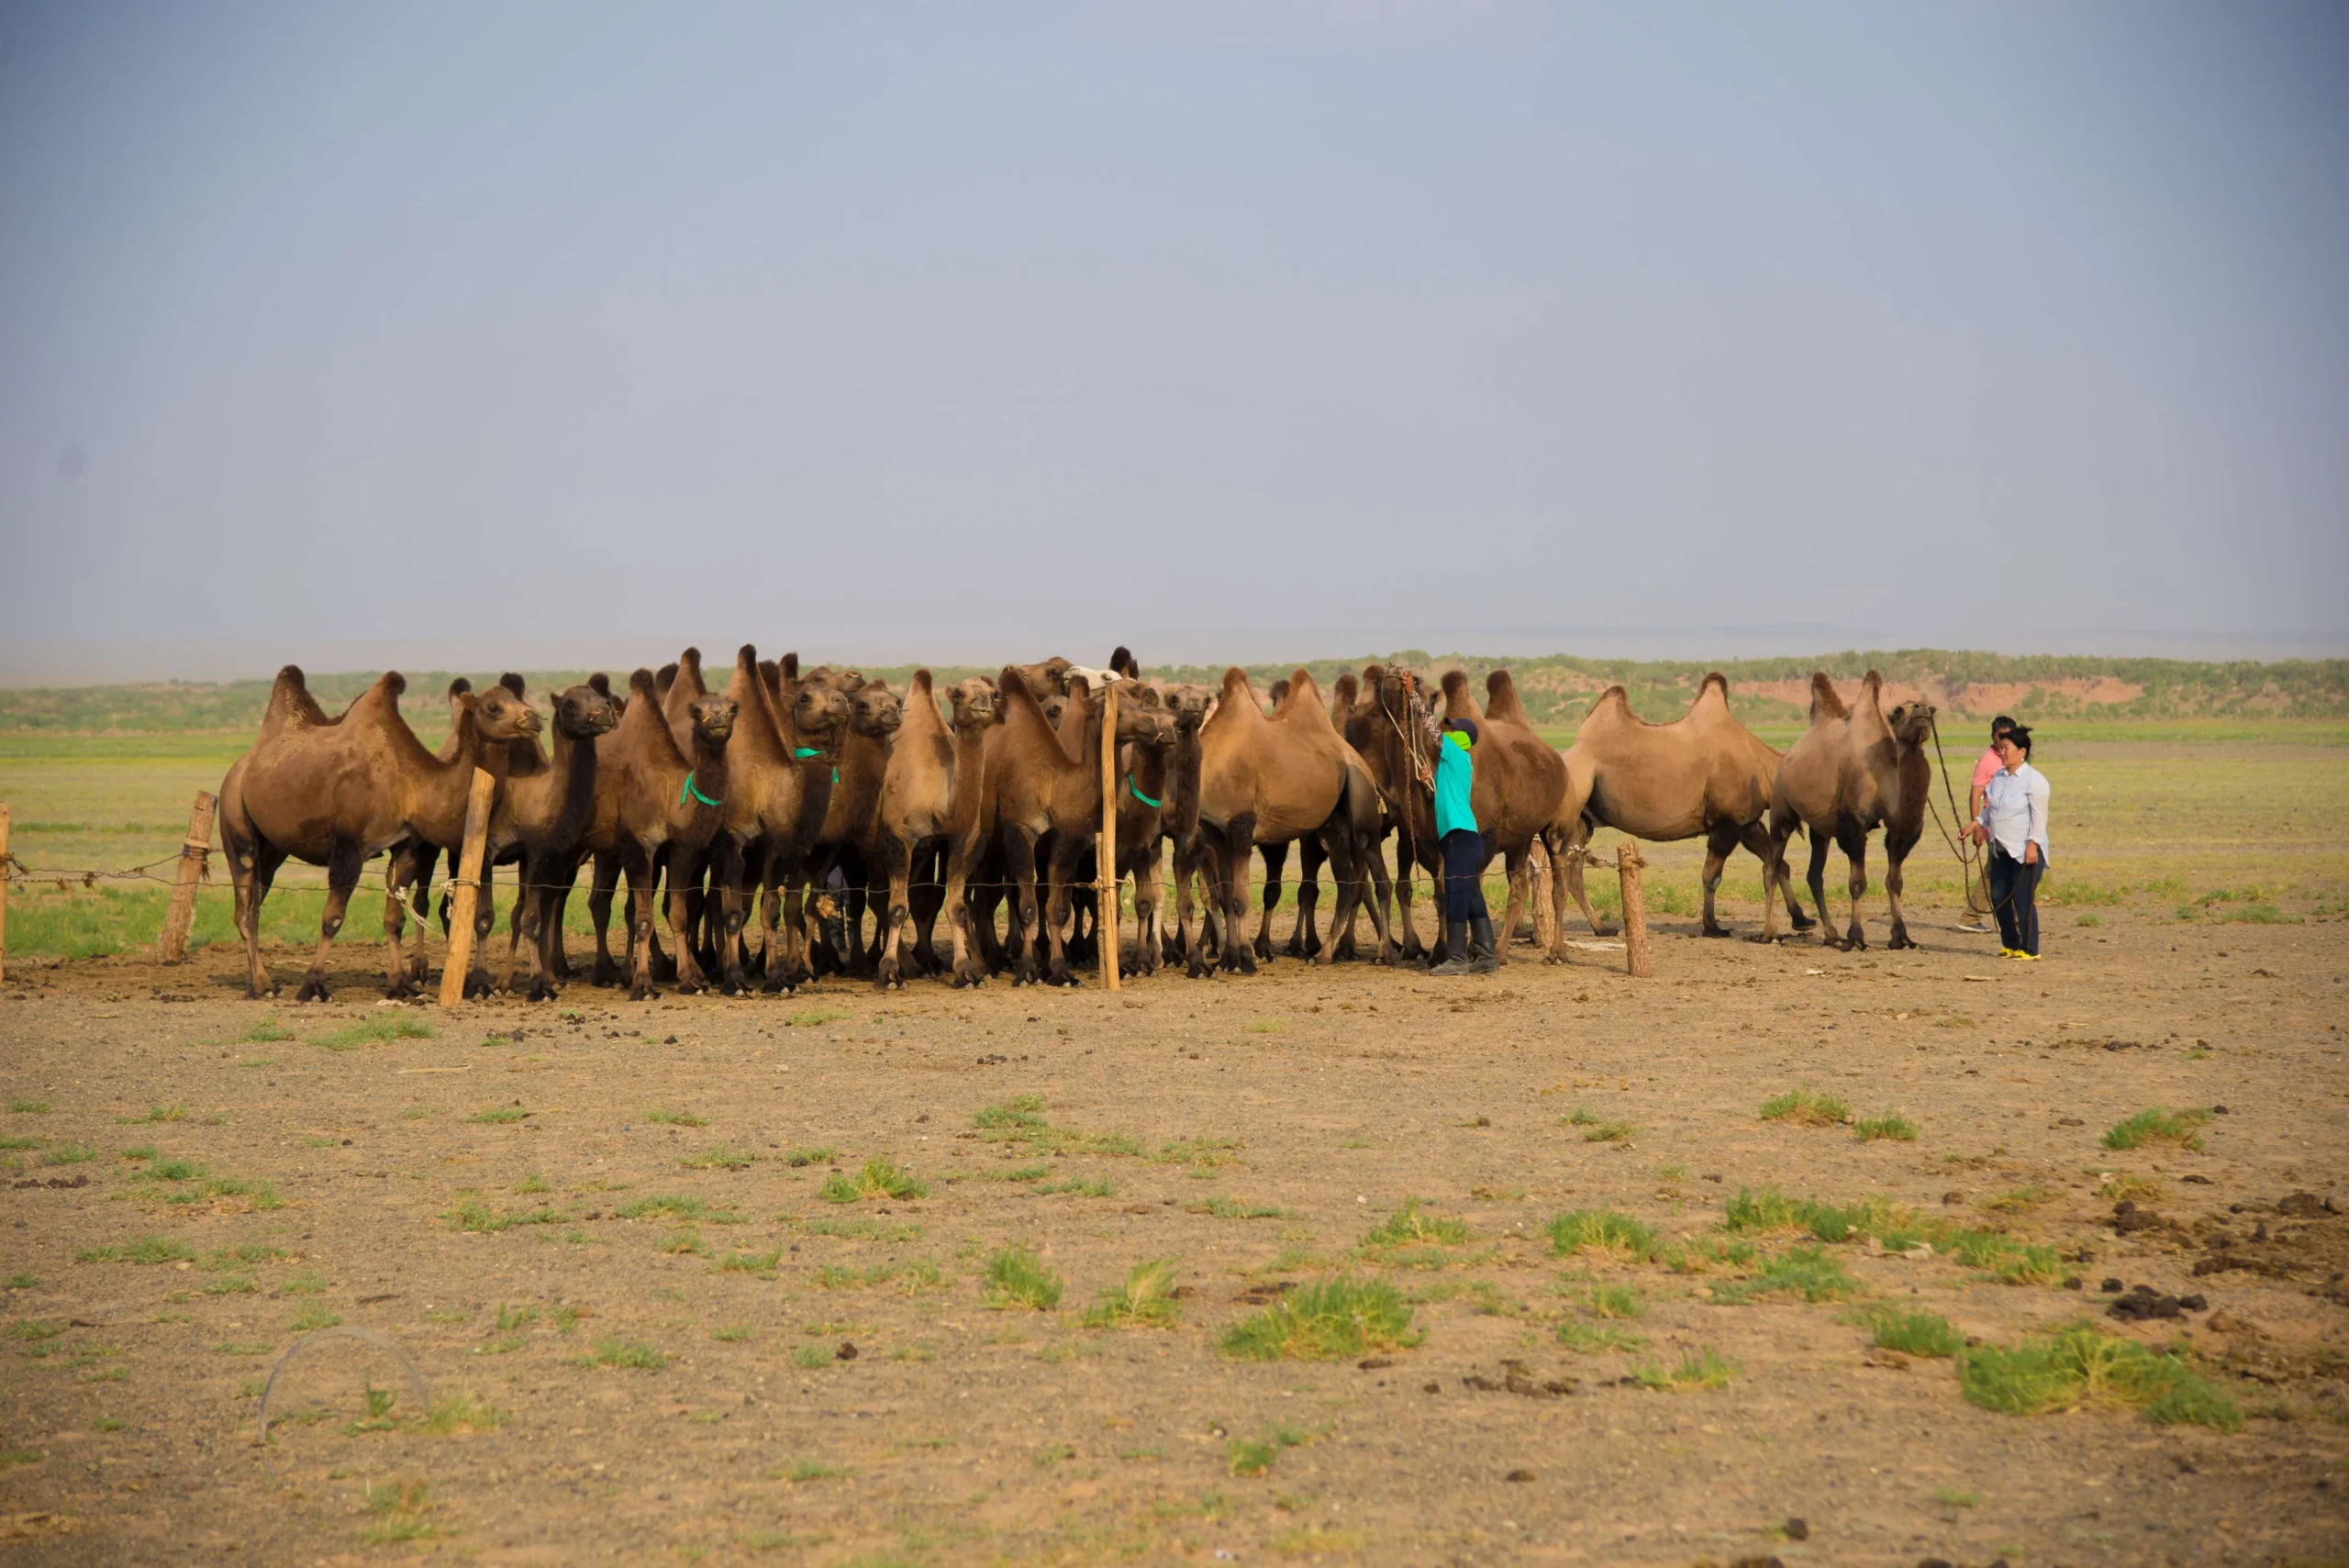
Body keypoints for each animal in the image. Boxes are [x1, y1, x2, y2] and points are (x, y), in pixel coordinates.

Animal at [217, 668, 539, 1001]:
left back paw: (257, 980)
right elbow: (332, 918)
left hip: (272, 848)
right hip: (235, 822)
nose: (533, 717)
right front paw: (313, 985)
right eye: (493, 707)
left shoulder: (405, 844)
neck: (412, 786)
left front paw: (399, 985)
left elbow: (394, 919)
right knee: (244, 905)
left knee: (255, 904)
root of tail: (239, 768)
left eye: (518, 698)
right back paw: (262, 984)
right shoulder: (348, 846)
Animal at [574, 671, 737, 998]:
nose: (717, 720)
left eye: (732, 708)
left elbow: (677, 912)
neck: (669, 791)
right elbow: (643, 919)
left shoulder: (681, 850)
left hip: (607, 852)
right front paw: (643, 984)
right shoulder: (640, 846)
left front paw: (689, 979)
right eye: (696, 710)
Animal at [1191, 668, 1392, 976]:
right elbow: (1225, 896)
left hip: (1363, 808)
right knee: (1347, 884)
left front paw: (1247, 959)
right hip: (1332, 825)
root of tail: (1356, 759)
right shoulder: (1216, 833)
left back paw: (1382, 953)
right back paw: (1324, 953)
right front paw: (1229, 959)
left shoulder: (1241, 826)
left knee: (1379, 878)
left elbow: (1239, 899)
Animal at [1552, 674, 1811, 940]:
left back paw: (1602, 928)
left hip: (1584, 820)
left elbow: (1780, 865)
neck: (1762, 769)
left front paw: (1802, 919)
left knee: (1574, 870)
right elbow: (1712, 877)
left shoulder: (1747, 823)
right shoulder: (1726, 822)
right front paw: (1713, 927)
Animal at [1765, 672, 1937, 950]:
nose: (1922, 710)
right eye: (1899, 710)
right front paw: (1856, 937)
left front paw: (1901, 937)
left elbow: (1895, 882)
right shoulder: (1853, 824)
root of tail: (1787, 756)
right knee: (1772, 865)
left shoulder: (1898, 831)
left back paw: (1831, 934)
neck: (1884, 772)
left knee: (1814, 875)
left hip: (1820, 828)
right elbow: (1858, 884)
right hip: (1781, 808)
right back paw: (1769, 933)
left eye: (1932, 710)